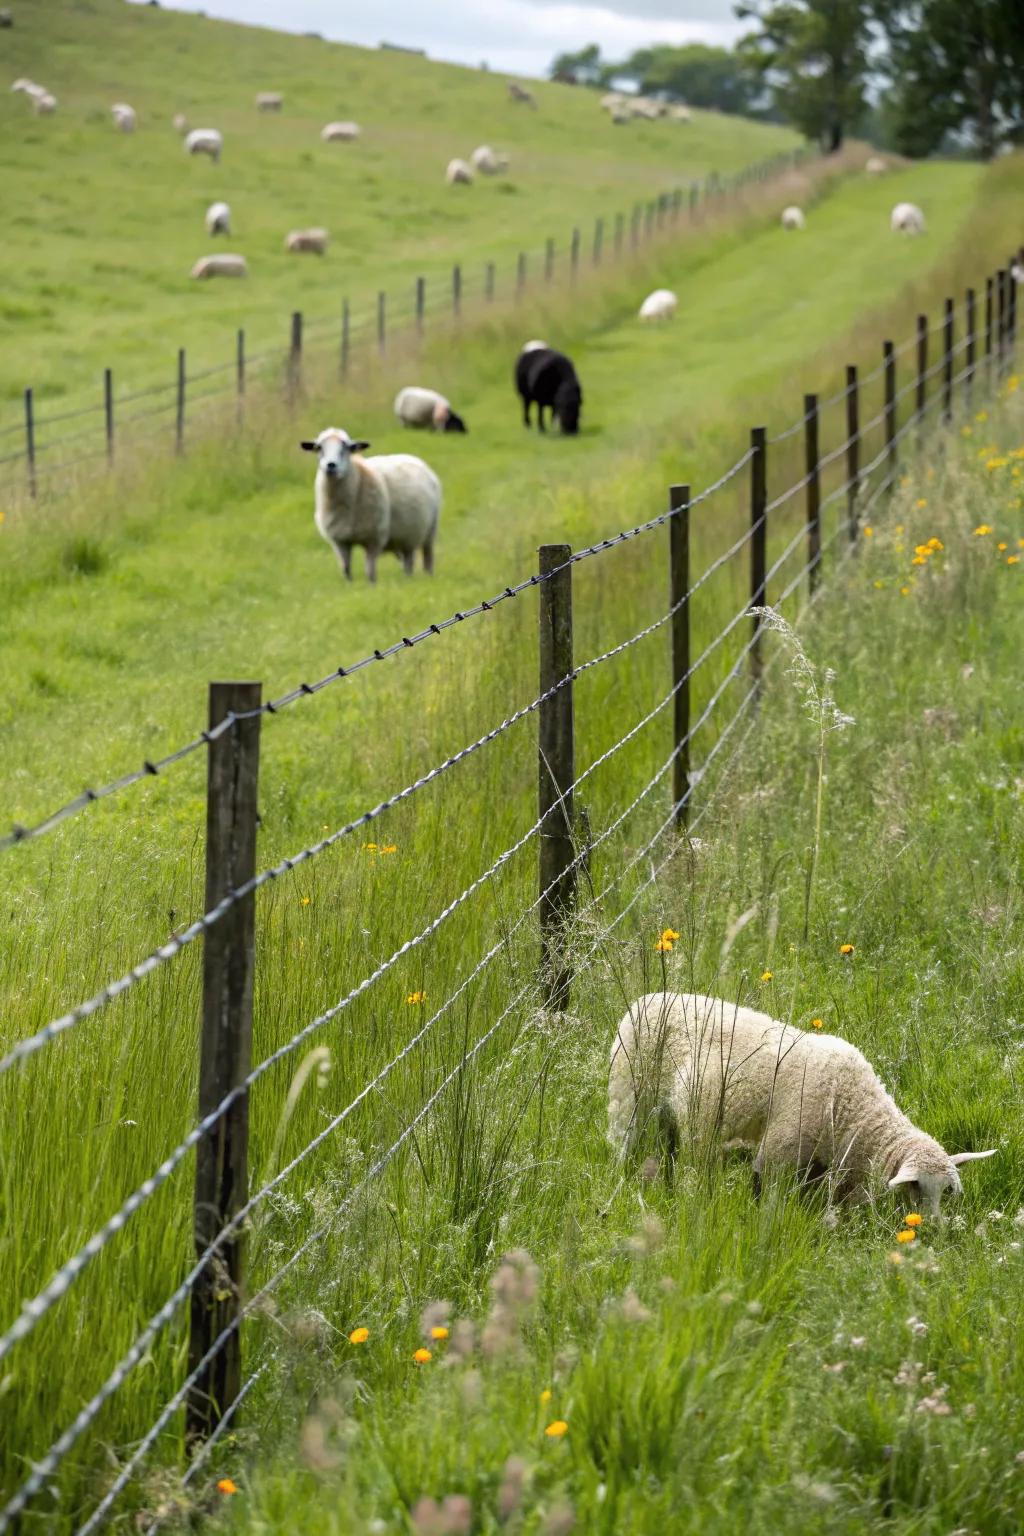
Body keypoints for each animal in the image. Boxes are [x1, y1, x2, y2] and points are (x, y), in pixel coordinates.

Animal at [297, 427, 439, 580]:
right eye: (319, 448)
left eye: (347, 448)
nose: (331, 465)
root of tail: (413, 458)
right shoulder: (340, 541)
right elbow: (346, 570)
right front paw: (349, 584)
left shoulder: (374, 539)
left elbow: (370, 572)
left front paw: (372, 585)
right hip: (405, 535)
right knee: (408, 561)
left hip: (429, 531)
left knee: (426, 558)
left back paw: (427, 576)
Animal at [604, 989, 994, 1216]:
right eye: (916, 1187)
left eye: (949, 1191)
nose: (933, 1230)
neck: (854, 1111)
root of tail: (646, 997)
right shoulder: (781, 1147)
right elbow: (765, 1192)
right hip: (629, 1088)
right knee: (623, 1141)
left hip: (671, 1111)